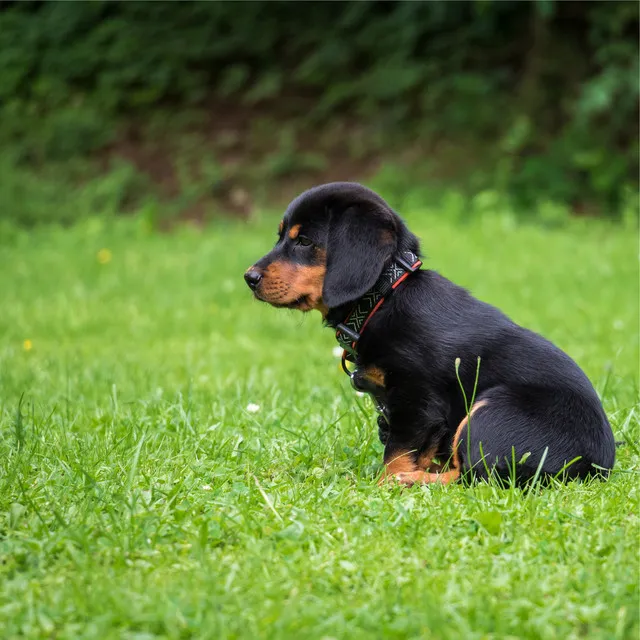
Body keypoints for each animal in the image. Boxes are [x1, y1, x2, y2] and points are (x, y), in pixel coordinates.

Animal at [244, 182, 616, 488]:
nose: (249, 277)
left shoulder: (416, 401)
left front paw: (387, 482)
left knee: (473, 476)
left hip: (490, 411)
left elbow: (397, 453)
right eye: (281, 236)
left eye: (304, 241)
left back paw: (409, 481)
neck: (383, 296)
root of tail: (593, 467)